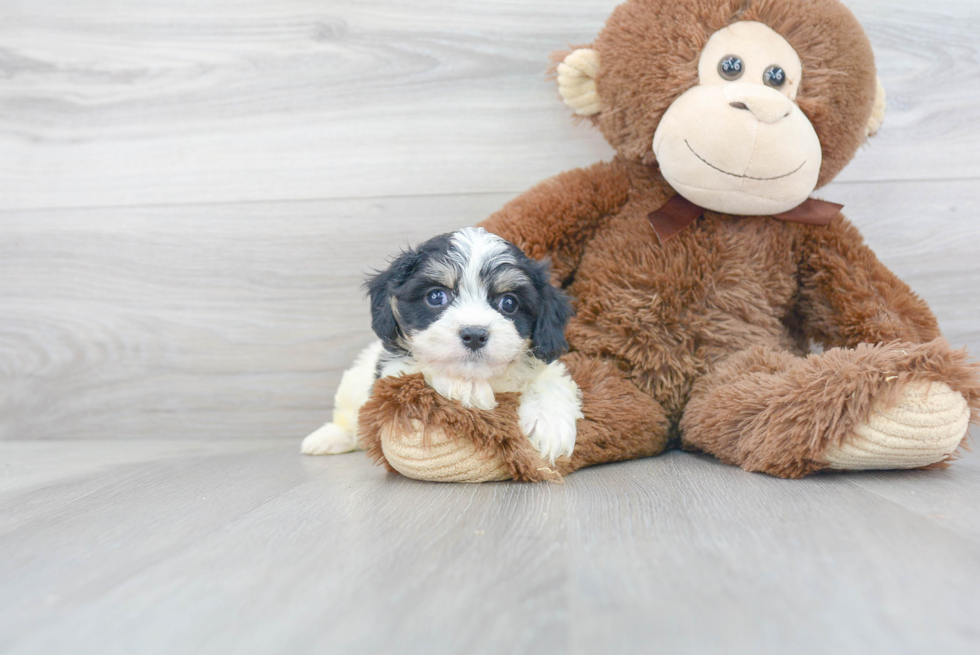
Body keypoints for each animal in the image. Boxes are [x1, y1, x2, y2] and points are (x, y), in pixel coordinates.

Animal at [300, 228, 580, 464]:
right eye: (436, 296)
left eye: (509, 303)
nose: (474, 334)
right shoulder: (394, 370)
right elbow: (424, 370)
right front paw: (465, 387)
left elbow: (551, 380)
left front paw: (549, 424)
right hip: (354, 383)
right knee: (350, 417)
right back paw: (329, 438)